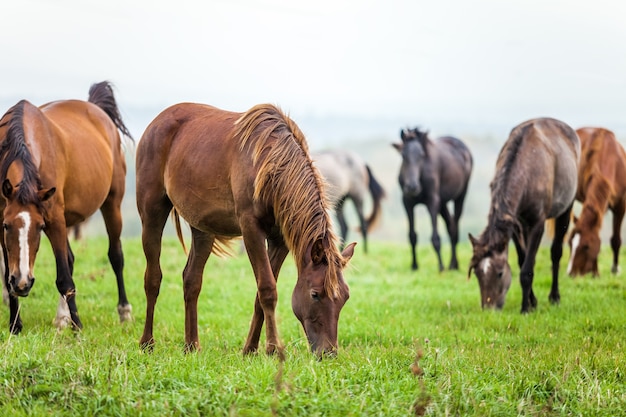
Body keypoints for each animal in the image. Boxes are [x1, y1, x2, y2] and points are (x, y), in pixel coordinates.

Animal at [0, 80, 133, 332]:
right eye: (6, 226)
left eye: (40, 227)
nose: (22, 283)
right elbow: (6, 274)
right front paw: (15, 324)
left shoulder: (54, 219)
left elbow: (64, 278)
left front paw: (78, 327)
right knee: (70, 259)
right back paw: (62, 316)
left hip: (112, 204)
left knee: (116, 256)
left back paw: (124, 311)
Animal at [134, 102, 354, 356]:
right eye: (315, 294)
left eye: (345, 297)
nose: (328, 352)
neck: (271, 165)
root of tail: (157, 122)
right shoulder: (251, 230)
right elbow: (267, 289)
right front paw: (273, 349)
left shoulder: (280, 240)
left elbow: (261, 294)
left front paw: (250, 349)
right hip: (152, 214)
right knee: (153, 278)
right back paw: (147, 342)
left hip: (202, 229)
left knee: (191, 280)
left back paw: (191, 345)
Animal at [392, 128, 470, 272]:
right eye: (403, 155)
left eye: (421, 155)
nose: (412, 187)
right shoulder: (407, 202)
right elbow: (412, 236)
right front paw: (414, 266)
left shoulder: (432, 202)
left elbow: (435, 237)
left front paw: (441, 267)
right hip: (443, 203)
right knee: (450, 225)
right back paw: (454, 264)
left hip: (460, 196)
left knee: (454, 228)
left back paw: (452, 265)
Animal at [466, 117, 576, 312]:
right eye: (477, 273)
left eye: (500, 273)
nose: (489, 309)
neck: (526, 172)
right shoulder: (515, 226)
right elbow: (523, 260)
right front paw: (532, 302)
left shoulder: (538, 224)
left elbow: (526, 269)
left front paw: (525, 308)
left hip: (565, 209)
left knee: (556, 252)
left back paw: (554, 296)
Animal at [564, 127, 624, 276]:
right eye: (570, 243)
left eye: (586, 246)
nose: (571, 274)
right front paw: (595, 272)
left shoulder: (621, 205)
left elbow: (615, 240)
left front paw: (615, 270)